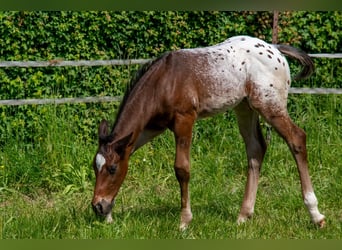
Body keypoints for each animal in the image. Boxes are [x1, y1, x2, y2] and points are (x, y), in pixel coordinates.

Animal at [91, 35, 326, 230]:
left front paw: (184, 221)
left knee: (297, 139)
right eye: (95, 167)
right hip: (245, 107)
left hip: (269, 105)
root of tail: (275, 49)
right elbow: (128, 150)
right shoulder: (151, 127)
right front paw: (109, 214)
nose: (97, 206)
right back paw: (243, 215)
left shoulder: (184, 119)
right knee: (256, 148)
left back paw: (316, 215)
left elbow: (182, 169)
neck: (163, 82)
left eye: (112, 169)